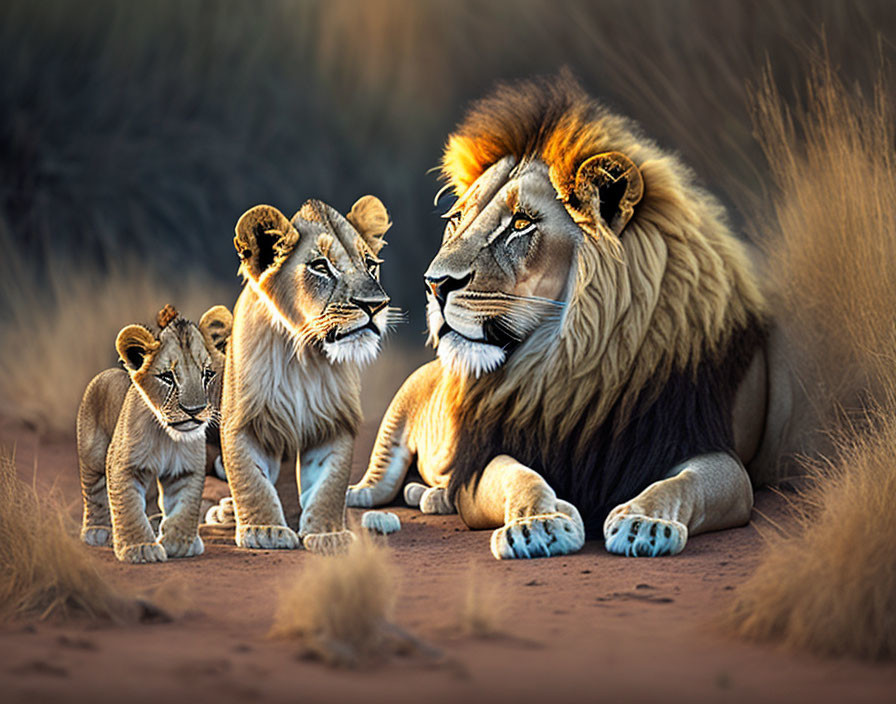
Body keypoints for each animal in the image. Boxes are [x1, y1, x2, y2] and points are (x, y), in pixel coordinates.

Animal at [77, 302, 233, 560]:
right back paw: (96, 531)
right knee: (94, 492)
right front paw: (140, 548)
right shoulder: (124, 465)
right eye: (167, 377)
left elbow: (185, 506)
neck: (167, 436)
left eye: (207, 374)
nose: (194, 410)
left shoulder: (186, 469)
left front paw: (179, 544)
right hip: (92, 456)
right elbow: (128, 508)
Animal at [217, 195, 396, 552]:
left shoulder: (334, 422)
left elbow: (329, 484)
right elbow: (250, 478)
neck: (305, 357)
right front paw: (265, 531)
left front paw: (328, 534)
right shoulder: (244, 421)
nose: (376, 304)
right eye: (321, 266)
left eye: (370, 264)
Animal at [346, 75, 780, 560]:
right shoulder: (485, 459)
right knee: (377, 478)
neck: (571, 362)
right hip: (396, 418)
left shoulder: (718, 455)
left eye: (520, 224)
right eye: (457, 219)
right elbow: (520, 476)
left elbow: (683, 484)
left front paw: (644, 524)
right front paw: (537, 525)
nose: (434, 284)